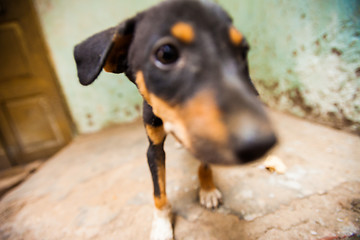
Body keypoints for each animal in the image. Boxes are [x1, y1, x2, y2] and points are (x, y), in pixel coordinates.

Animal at [73, 0, 276, 239]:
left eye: (242, 51)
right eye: (166, 54)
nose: (261, 142)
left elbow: (204, 164)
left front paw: (207, 189)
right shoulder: (153, 148)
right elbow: (159, 192)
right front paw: (161, 225)